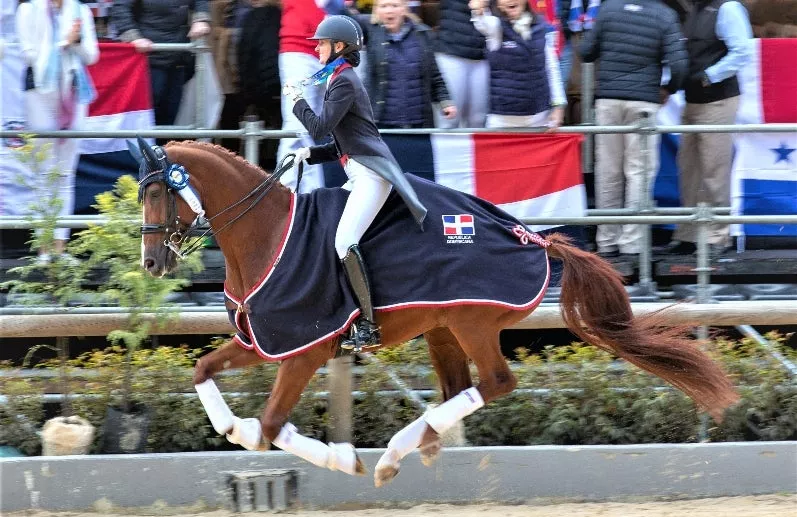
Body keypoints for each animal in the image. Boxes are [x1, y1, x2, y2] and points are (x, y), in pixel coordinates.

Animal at [134, 140, 736, 484]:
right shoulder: (265, 338)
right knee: (458, 390)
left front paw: (341, 459)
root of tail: (530, 237)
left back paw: (390, 455)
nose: (152, 261)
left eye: (158, 194)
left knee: (495, 383)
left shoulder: (304, 348)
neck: (266, 236)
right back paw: (410, 448)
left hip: (471, 322)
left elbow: (271, 426)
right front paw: (229, 425)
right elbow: (204, 372)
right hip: (444, 328)